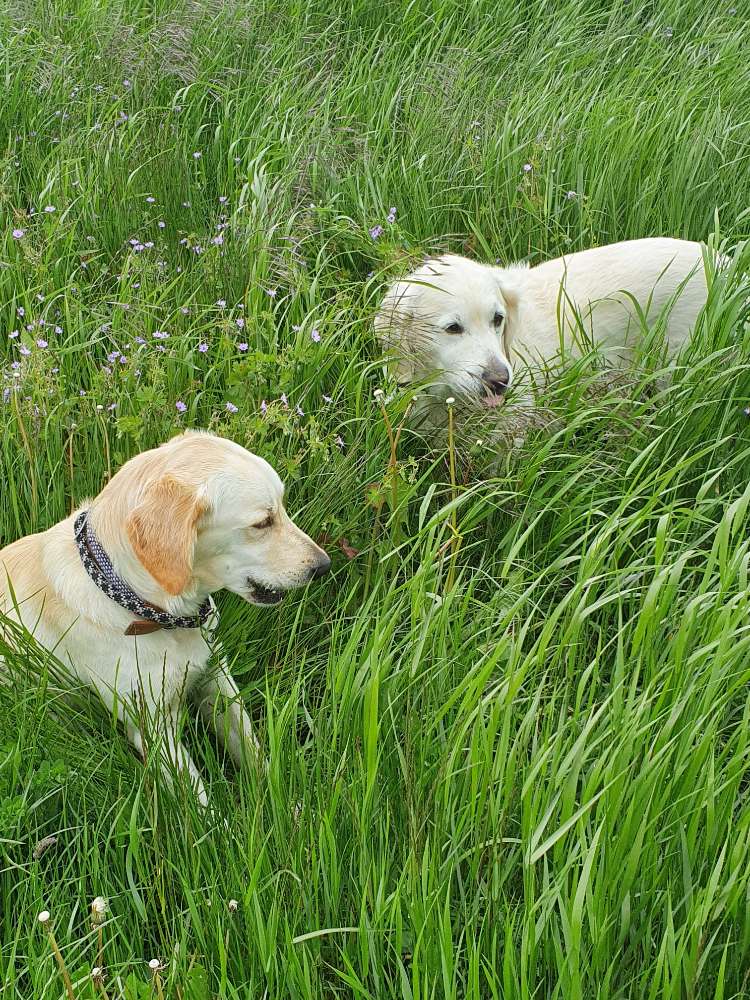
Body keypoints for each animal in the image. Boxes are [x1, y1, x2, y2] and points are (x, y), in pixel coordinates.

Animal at [0, 430, 328, 804]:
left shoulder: (217, 682)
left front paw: (285, 806)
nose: (324, 566)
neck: (150, 611)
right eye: (262, 523)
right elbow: (200, 803)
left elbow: (255, 753)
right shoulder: (152, 726)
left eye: (282, 507)